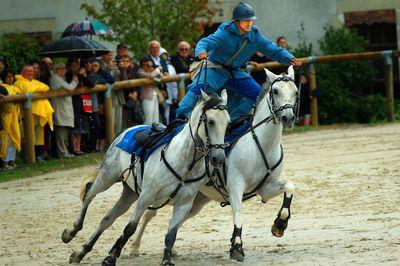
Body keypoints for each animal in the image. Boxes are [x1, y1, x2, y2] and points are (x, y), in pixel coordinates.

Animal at [61, 89, 230, 264]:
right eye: (210, 121)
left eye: (228, 123)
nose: (218, 158)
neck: (184, 164)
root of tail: (127, 130)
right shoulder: (146, 197)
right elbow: (130, 228)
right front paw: (111, 257)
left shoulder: (184, 205)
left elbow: (170, 235)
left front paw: (166, 260)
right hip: (107, 176)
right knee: (89, 193)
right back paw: (71, 232)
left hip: (129, 193)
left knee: (107, 218)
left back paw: (81, 252)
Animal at [129, 66, 300, 262]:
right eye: (276, 91)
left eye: (296, 92)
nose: (288, 117)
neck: (262, 144)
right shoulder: (236, 187)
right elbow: (238, 215)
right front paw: (237, 248)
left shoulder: (265, 188)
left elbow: (289, 187)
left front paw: (280, 224)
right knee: (149, 213)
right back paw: (134, 247)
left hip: (195, 202)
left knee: (177, 221)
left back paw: (172, 250)